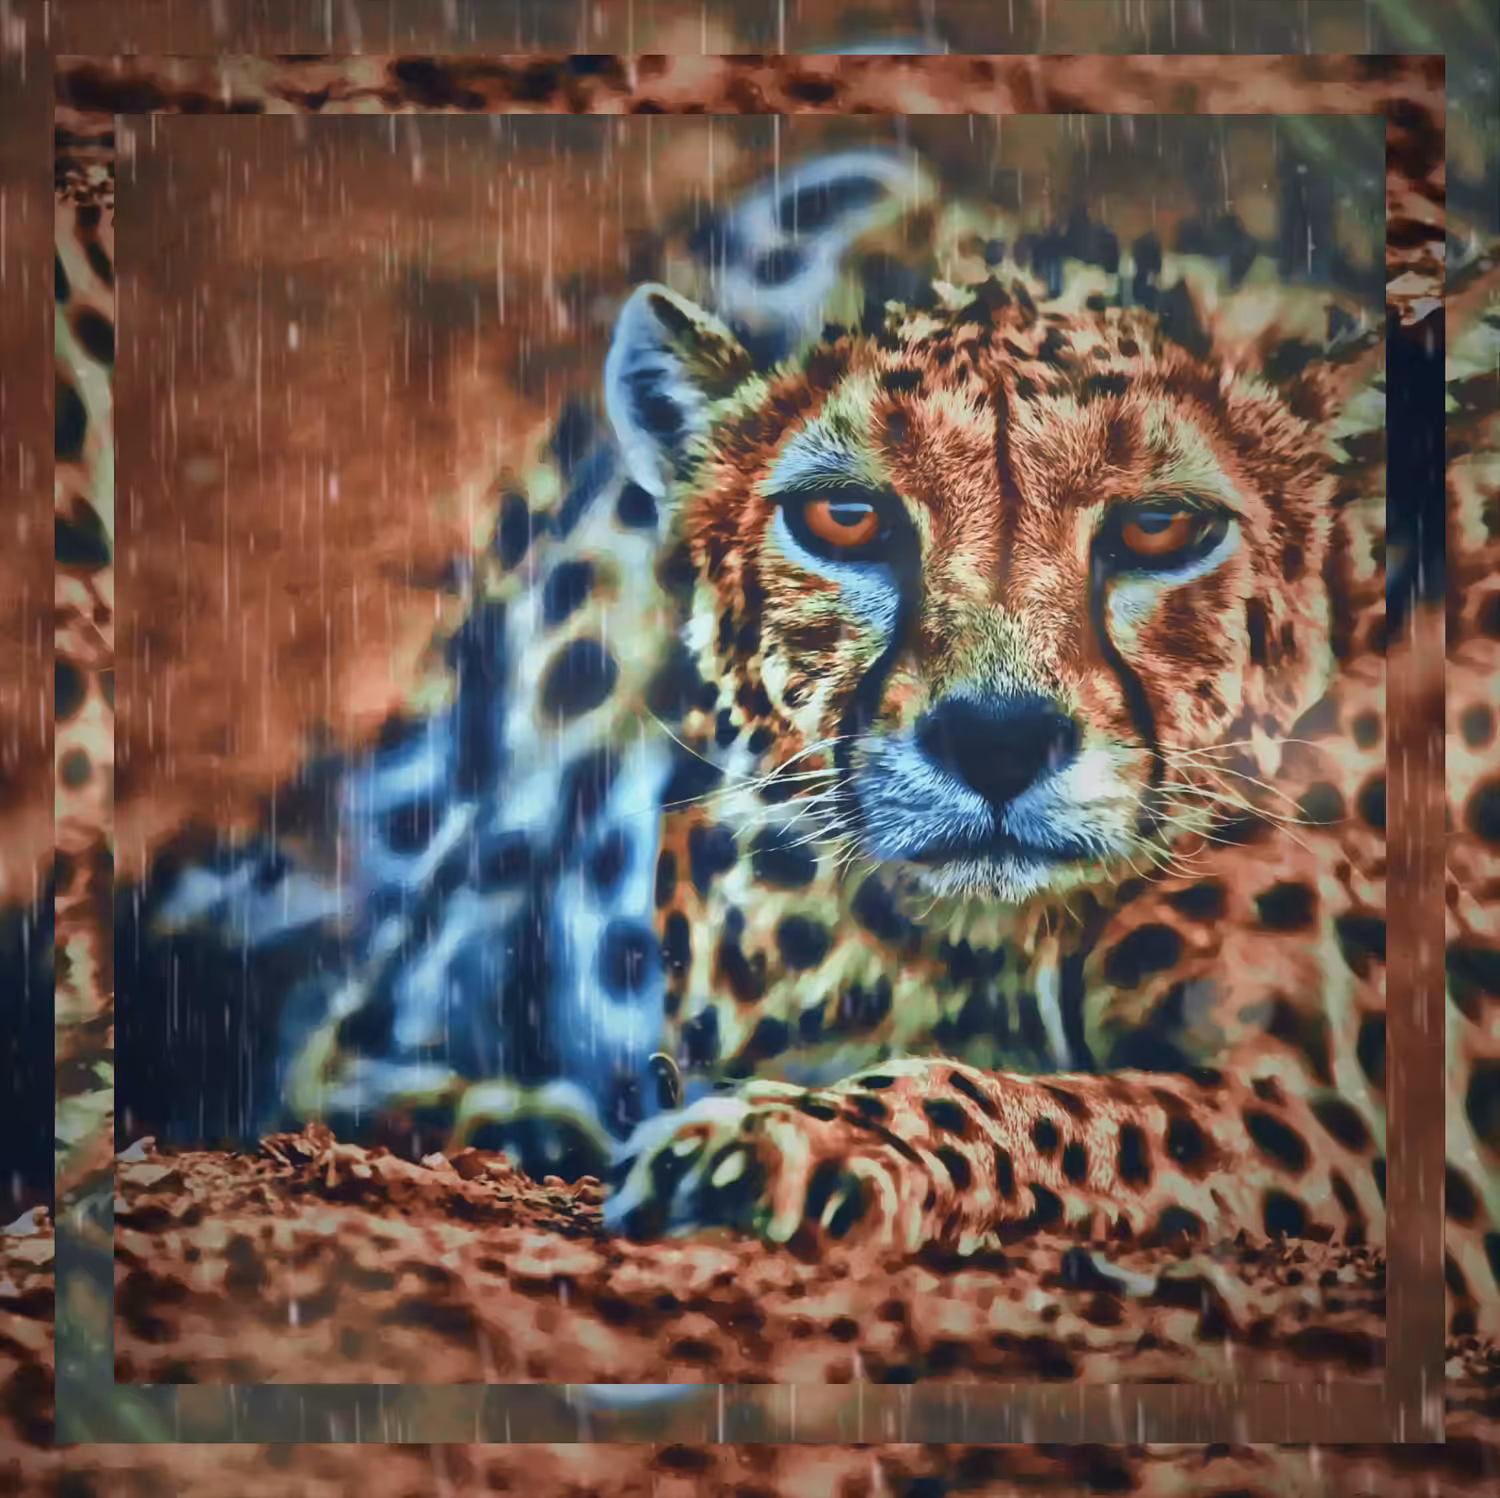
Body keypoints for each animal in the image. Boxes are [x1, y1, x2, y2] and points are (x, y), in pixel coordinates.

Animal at [47, 121, 1499, 1397]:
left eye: (1161, 529)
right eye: (844, 518)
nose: (996, 741)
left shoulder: (1394, 1130)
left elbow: (1087, 1109)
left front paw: (782, 1145)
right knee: (330, 1010)